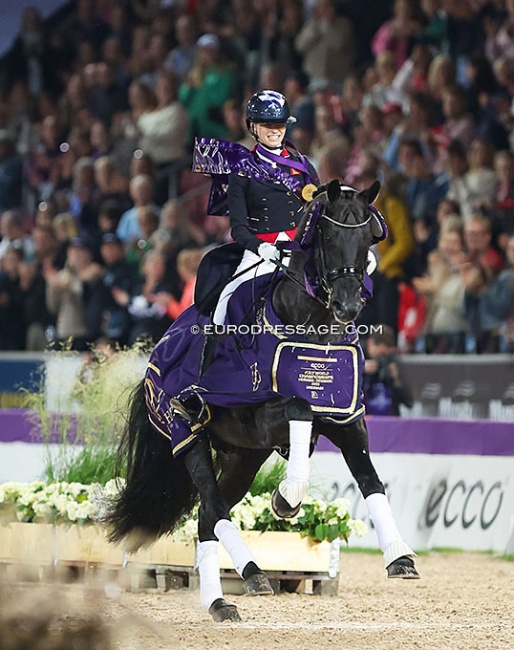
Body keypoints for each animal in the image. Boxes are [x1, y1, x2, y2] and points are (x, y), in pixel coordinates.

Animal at [108, 180, 416, 620]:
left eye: (368, 240)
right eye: (327, 236)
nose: (348, 305)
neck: (316, 332)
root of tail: (159, 353)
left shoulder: (346, 418)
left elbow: (372, 482)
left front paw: (400, 557)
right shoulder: (265, 416)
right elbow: (300, 409)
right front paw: (286, 499)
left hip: (243, 458)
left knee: (207, 516)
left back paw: (220, 601)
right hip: (188, 435)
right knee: (214, 506)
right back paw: (248, 576)